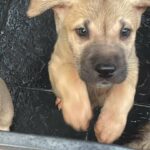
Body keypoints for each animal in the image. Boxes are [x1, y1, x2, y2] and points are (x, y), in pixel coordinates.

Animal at [27, 0, 150, 145]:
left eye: (125, 31)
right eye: (82, 31)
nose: (106, 70)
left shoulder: (130, 65)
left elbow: (123, 93)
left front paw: (109, 126)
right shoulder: (58, 62)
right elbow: (71, 80)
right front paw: (78, 114)